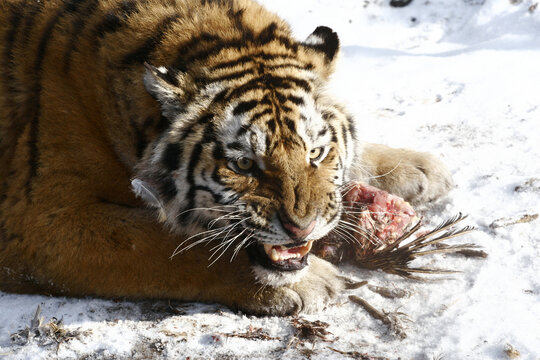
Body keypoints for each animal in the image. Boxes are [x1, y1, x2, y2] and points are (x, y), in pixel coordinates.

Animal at [0, 0, 454, 316]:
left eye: (316, 153)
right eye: (243, 164)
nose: (302, 228)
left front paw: (421, 168)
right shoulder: (41, 219)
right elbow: (163, 242)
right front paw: (305, 284)